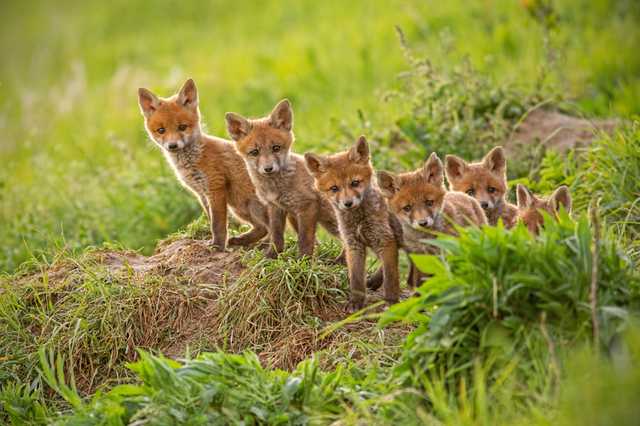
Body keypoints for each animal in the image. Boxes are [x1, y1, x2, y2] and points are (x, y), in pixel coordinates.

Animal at [137, 79, 269, 251]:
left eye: (182, 127)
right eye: (161, 130)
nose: (172, 145)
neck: (193, 160)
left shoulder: (215, 187)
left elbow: (218, 224)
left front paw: (217, 246)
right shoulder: (202, 194)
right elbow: (211, 219)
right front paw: (216, 243)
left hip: (244, 204)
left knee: (267, 228)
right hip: (239, 206)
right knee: (263, 228)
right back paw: (243, 241)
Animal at [224, 100, 341, 259]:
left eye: (276, 148)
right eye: (254, 152)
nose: (268, 168)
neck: (276, 187)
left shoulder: (308, 206)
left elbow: (305, 240)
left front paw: (303, 260)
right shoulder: (275, 207)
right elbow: (277, 236)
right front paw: (271, 256)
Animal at [305, 136, 401, 311]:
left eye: (355, 183)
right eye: (334, 188)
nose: (348, 203)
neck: (358, 221)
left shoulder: (385, 240)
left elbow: (391, 277)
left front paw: (391, 302)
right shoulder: (353, 245)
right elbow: (356, 279)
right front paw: (356, 302)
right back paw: (374, 282)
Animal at [378, 152, 487, 288]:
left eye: (429, 202)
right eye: (407, 208)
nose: (423, 223)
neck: (425, 239)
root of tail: (462, 194)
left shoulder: (448, 251)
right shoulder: (418, 256)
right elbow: (419, 283)